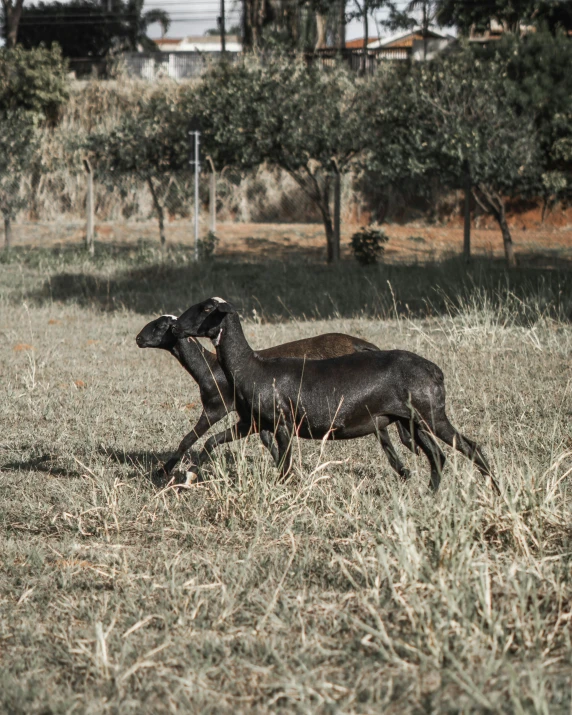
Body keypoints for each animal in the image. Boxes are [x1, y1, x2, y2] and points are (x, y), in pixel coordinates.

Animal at [137, 314, 418, 482]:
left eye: (160, 325)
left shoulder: (216, 408)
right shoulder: (252, 418)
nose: (138, 338)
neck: (210, 367)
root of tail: (364, 345)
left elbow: (189, 438)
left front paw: (163, 470)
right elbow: (262, 439)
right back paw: (405, 467)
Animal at [174, 296, 500, 492]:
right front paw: (190, 475)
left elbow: (284, 463)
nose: (176, 327)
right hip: (413, 420)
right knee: (438, 455)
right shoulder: (252, 423)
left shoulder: (282, 423)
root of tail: (435, 370)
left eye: (207, 309)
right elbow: (212, 442)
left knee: (470, 447)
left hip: (430, 414)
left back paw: (494, 489)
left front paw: (284, 489)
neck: (251, 367)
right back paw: (430, 493)